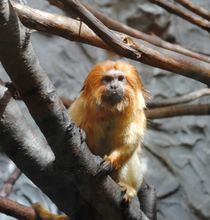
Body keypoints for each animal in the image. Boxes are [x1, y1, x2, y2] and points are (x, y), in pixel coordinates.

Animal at [32, 60, 154, 220]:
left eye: (120, 79)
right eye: (107, 80)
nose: (114, 87)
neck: (111, 109)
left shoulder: (136, 114)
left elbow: (128, 145)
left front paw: (110, 162)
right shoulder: (81, 106)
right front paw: (81, 133)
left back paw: (128, 188)